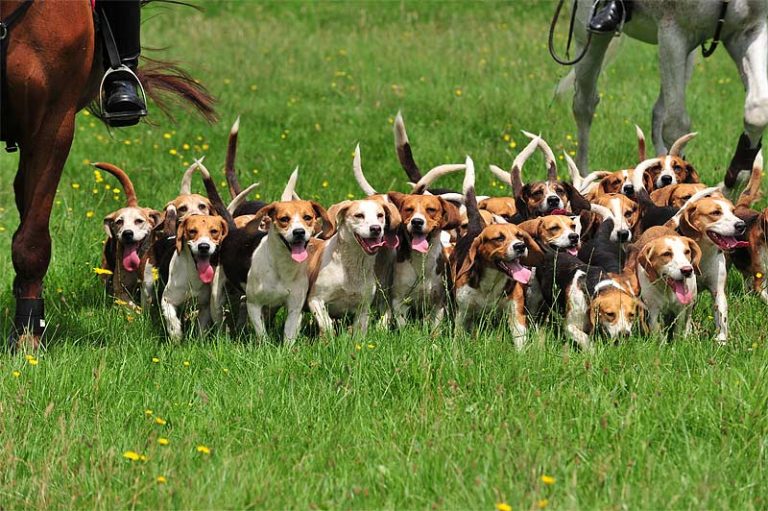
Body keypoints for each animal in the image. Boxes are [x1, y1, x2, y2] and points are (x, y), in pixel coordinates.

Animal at [560, 0, 764, 186]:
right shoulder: (673, 33)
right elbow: (676, 128)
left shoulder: (747, 32)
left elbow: (757, 112)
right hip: (588, 36)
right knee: (584, 104)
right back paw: (583, 181)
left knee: (658, 112)